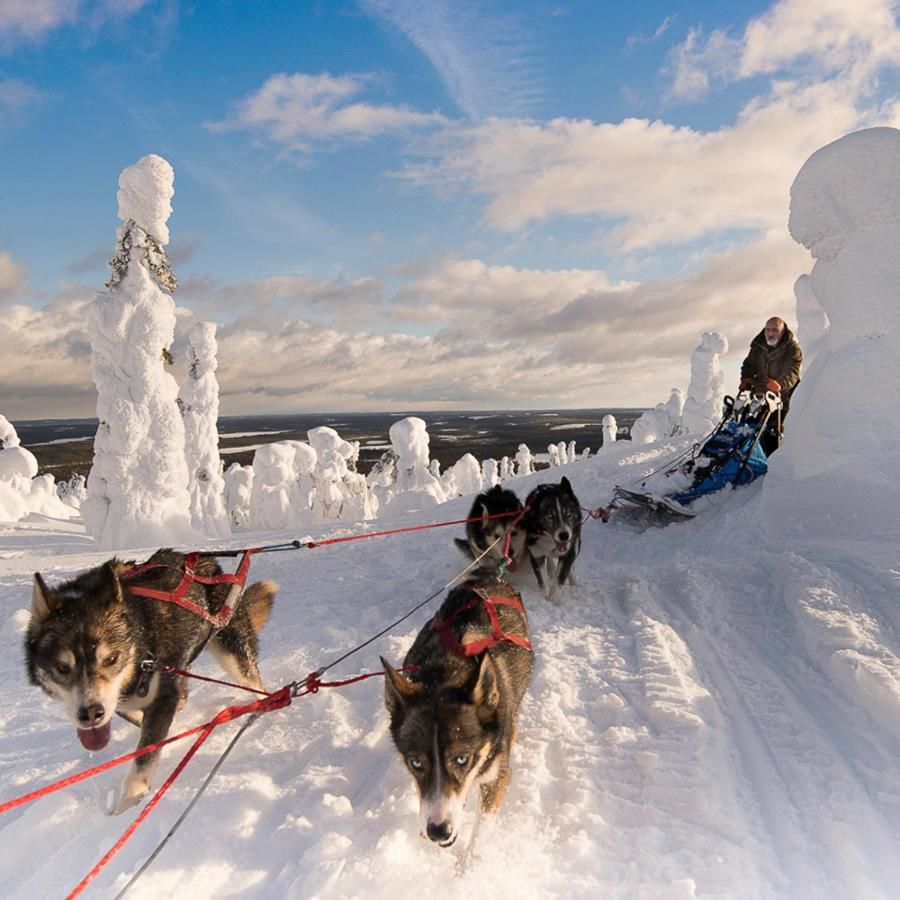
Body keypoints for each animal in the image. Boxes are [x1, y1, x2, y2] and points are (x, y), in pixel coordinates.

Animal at [25, 548, 278, 816]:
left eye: (111, 659)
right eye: (62, 668)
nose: (91, 713)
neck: (139, 639)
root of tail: (206, 561)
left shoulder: (162, 695)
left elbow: (143, 760)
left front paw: (124, 811)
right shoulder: (125, 702)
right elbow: (144, 720)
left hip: (233, 654)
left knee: (256, 686)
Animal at [382, 572, 536, 848]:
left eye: (462, 759)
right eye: (416, 763)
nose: (438, 831)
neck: (446, 673)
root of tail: (489, 576)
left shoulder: (497, 779)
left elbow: (477, 837)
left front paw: (468, 860)